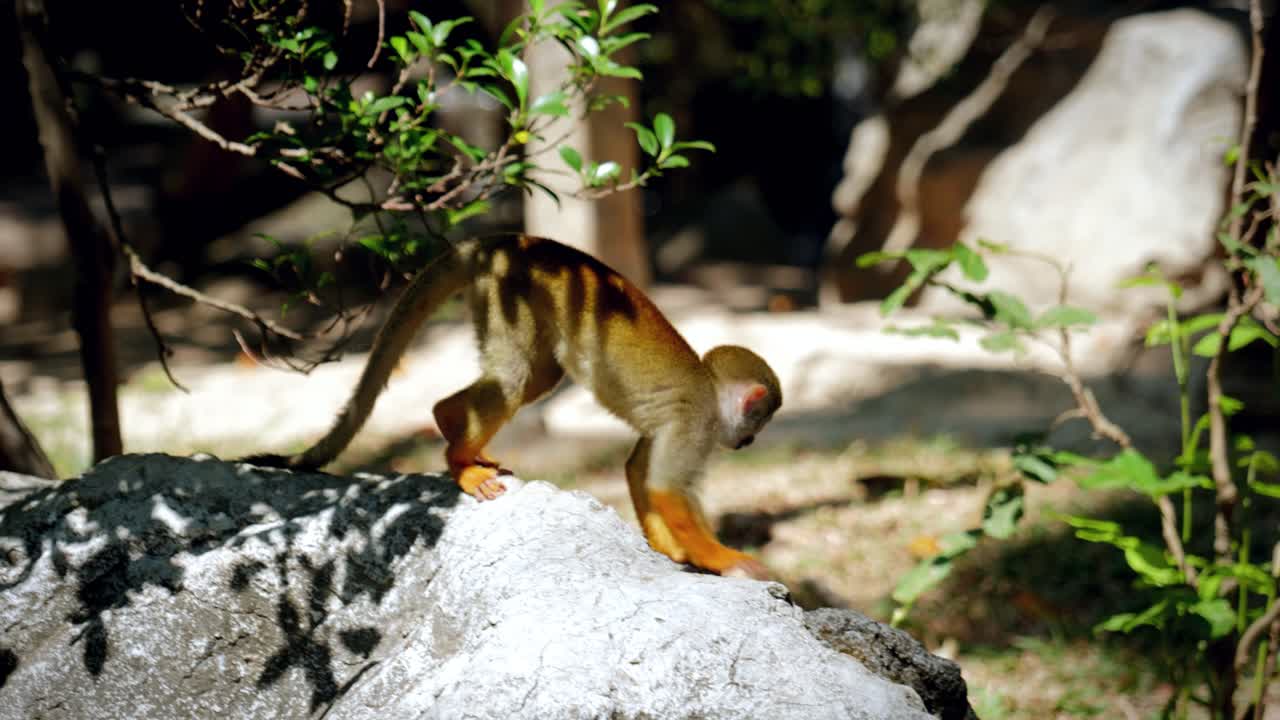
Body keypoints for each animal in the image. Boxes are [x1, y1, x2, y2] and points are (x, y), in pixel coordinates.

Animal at [251, 234, 782, 579]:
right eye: (760, 419)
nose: (750, 440)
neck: (711, 391)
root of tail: (508, 241)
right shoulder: (697, 421)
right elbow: (669, 489)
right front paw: (725, 560)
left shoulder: (674, 425)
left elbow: (639, 470)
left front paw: (670, 550)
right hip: (509, 291)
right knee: (514, 377)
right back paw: (458, 454)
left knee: (538, 375)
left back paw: (452, 425)